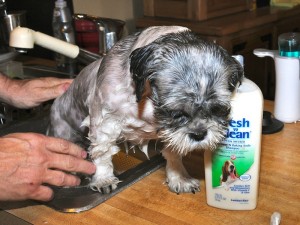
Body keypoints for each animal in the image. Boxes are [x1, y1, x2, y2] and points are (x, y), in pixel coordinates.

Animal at [47, 25, 244, 193]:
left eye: (218, 109)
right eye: (176, 113)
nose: (199, 134)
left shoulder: (169, 133)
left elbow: (173, 154)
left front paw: (179, 178)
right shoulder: (104, 122)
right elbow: (102, 153)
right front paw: (103, 179)